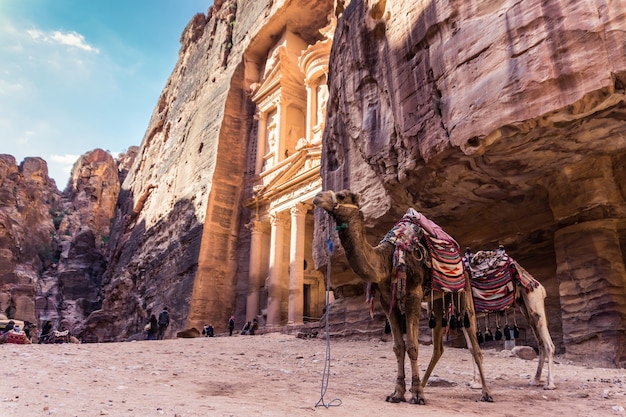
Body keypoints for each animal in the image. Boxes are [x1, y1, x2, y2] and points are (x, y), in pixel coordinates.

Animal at [312, 188, 492, 404]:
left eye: (341, 195)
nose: (317, 198)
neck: (385, 260)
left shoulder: (412, 296)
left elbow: (413, 346)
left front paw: (416, 395)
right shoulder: (386, 301)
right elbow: (398, 347)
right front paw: (398, 393)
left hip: (462, 293)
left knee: (474, 345)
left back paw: (486, 393)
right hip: (437, 300)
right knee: (438, 348)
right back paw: (424, 385)